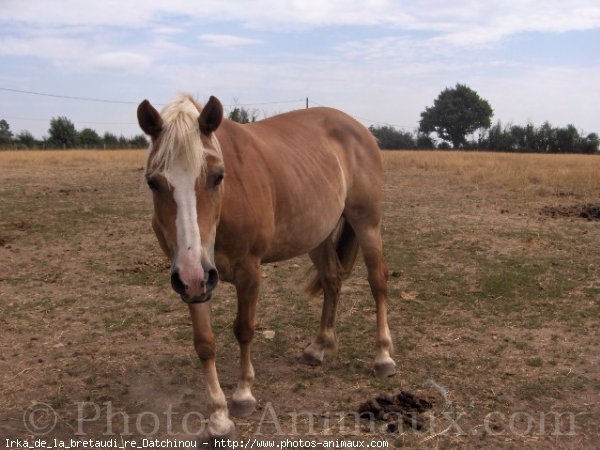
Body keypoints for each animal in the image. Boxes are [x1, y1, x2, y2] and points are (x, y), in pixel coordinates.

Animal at [138, 93, 396, 442]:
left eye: (217, 176)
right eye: (153, 182)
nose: (193, 271)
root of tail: (359, 129)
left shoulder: (246, 271)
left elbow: (244, 330)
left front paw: (243, 395)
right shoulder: (195, 281)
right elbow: (204, 342)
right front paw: (218, 416)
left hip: (367, 224)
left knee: (377, 283)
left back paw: (383, 357)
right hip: (316, 235)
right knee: (332, 280)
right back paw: (318, 347)